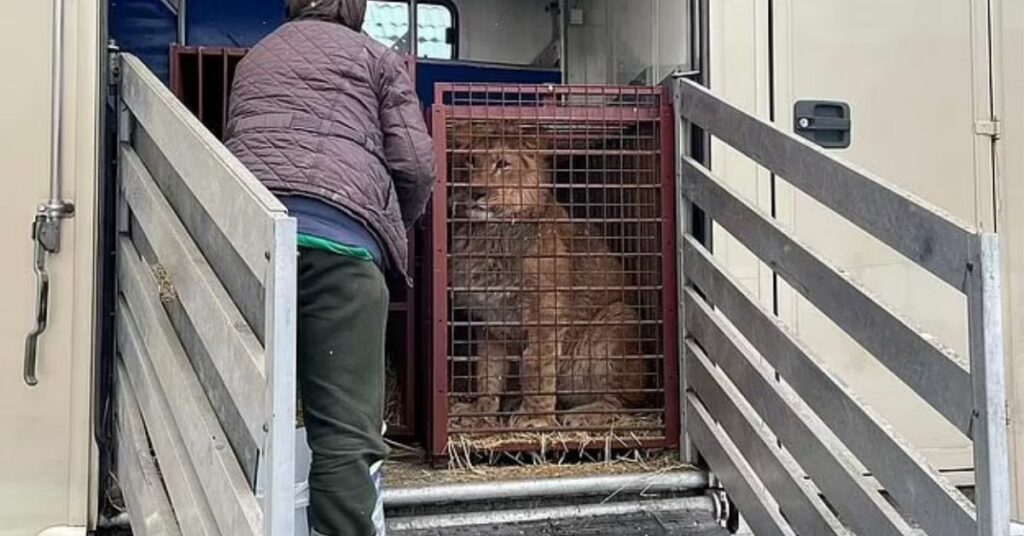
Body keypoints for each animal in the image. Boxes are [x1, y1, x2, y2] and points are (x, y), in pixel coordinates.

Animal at [444, 124, 643, 430]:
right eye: (470, 161)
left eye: (503, 164)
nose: (476, 192)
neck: (490, 234)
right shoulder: (490, 321)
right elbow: (488, 373)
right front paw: (480, 414)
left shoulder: (547, 314)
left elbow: (536, 367)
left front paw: (534, 418)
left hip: (617, 319)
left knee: (624, 402)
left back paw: (583, 415)